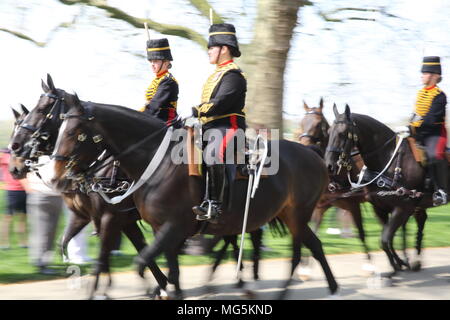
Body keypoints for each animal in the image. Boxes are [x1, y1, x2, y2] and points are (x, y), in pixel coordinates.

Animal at [48, 94, 338, 298]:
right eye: (58, 129)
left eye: (74, 132)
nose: (56, 178)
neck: (158, 162)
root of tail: (313, 154)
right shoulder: (158, 229)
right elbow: (167, 268)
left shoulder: (166, 226)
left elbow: (140, 262)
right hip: (286, 215)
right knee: (309, 246)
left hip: (297, 214)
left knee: (303, 249)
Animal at [326, 105, 434, 278]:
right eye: (329, 132)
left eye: (342, 133)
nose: (329, 166)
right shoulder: (380, 208)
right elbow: (386, 239)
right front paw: (396, 265)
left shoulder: (402, 207)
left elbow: (384, 239)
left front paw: (396, 266)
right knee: (419, 220)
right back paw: (413, 260)